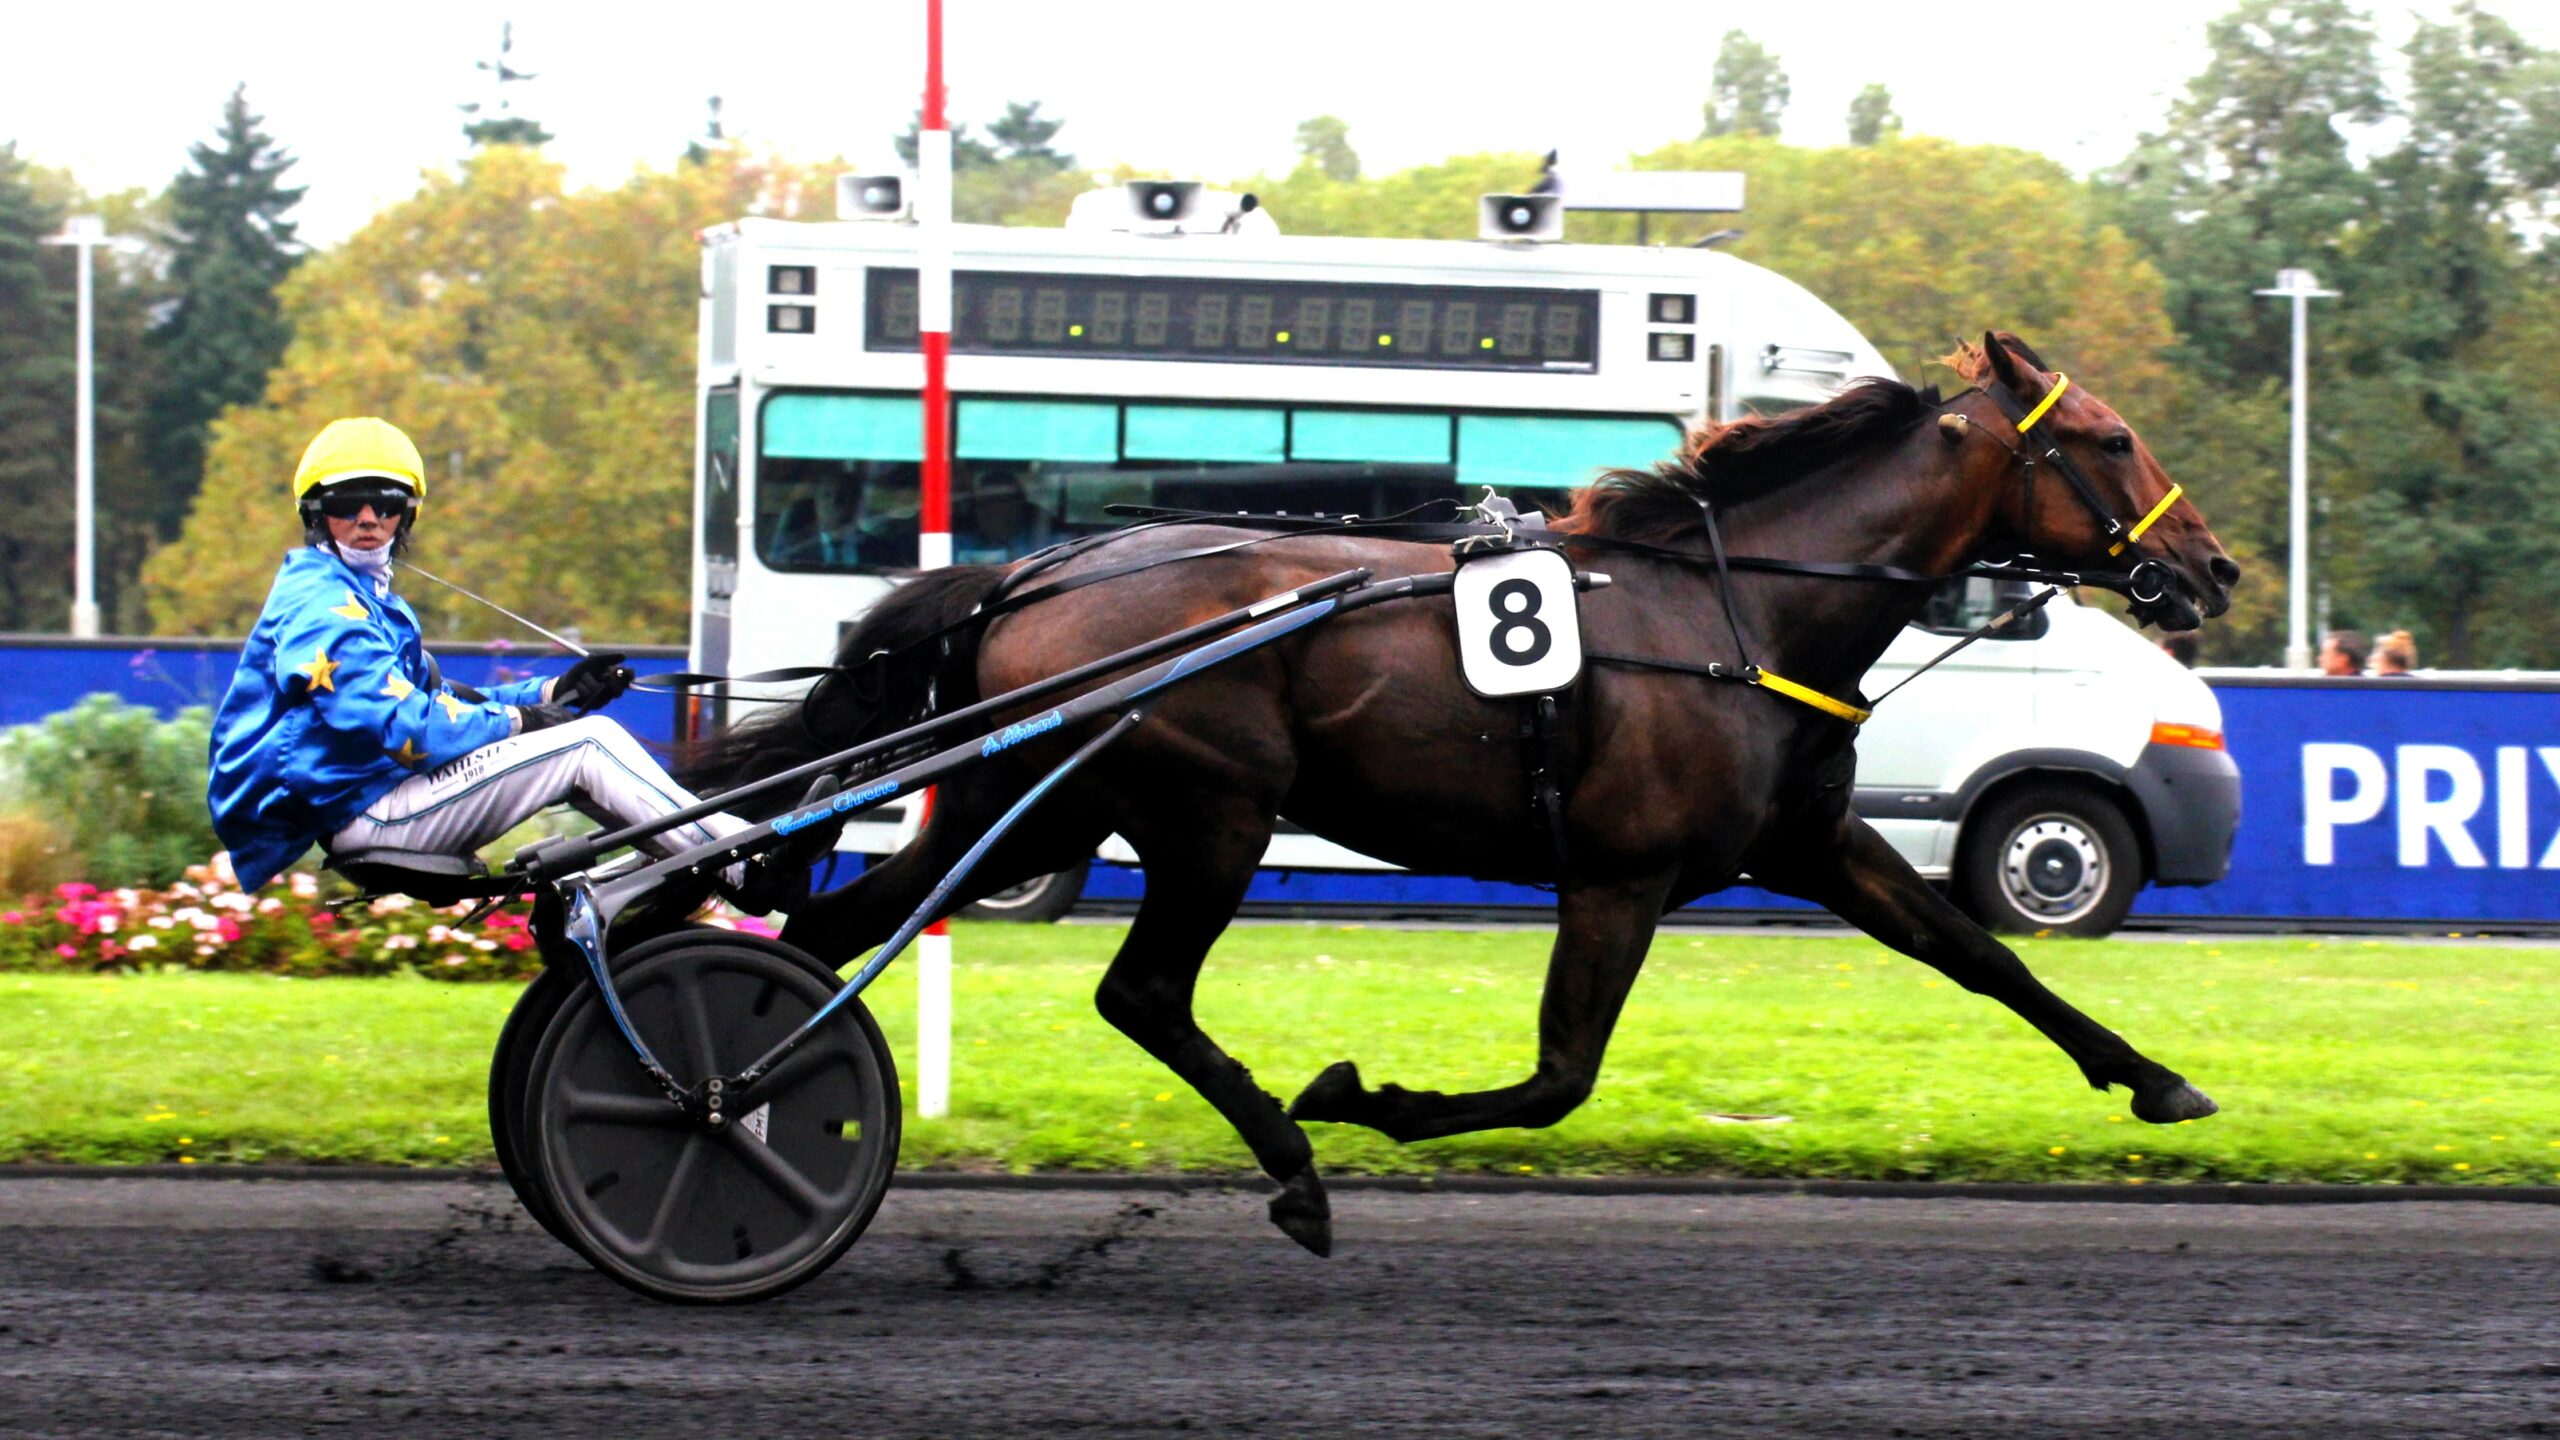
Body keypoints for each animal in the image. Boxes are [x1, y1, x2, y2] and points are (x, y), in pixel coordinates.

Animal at [686, 330, 2242, 1250]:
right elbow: (1558, 1079)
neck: (1733, 612)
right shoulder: (1617, 876)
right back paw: (1291, 1163)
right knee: (1141, 993)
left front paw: (2156, 1079)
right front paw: (1361, 1096)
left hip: (1039, 802)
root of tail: (1028, 575)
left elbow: (1986, 957)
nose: (2213, 568)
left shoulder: (1810, 842)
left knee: (836, 933)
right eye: (2109, 439)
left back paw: (746, 1106)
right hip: (1208, 812)